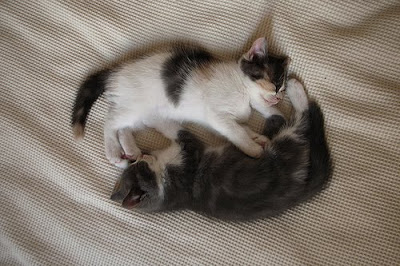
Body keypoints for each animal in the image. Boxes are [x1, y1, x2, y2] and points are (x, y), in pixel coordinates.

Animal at [72, 38, 290, 166]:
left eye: (283, 89)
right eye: (275, 83)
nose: (279, 97)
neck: (242, 88)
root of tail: (114, 73)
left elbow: (241, 127)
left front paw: (257, 137)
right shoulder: (216, 115)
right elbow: (236, 131)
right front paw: (253, 148)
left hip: (142, 113)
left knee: (124, 127)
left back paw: (131, 149)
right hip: (134, 105)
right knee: (110, 122)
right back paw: (113, 151)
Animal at [109, 80, 332, 221]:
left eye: (136, 167)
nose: (142, 160)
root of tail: (300, 191)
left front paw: (126, 138)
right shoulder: (190, 152)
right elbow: (175, 128)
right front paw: (149, 116)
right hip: (285, 146)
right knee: (299, 119)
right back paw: (295, 92)